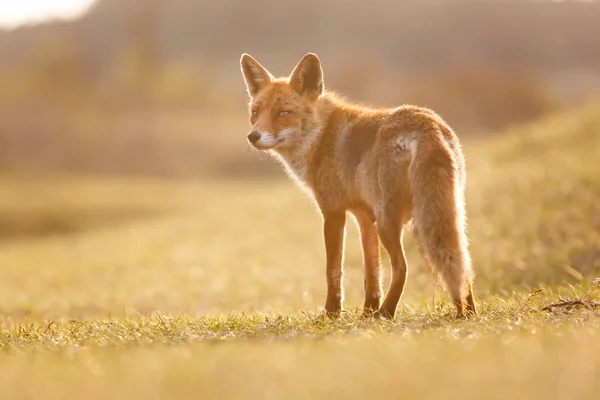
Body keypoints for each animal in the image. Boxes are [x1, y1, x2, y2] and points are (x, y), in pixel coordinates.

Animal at [239, 52, 478, 318]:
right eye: (255, 112)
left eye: (283, 113)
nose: (253, 136)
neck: (320, 137)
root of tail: (428, 124)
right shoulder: (364, 217)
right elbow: (372, 273)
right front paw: (366, 311)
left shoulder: (333, 212)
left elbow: (333, 270)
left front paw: (331, 313)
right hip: (448, 213)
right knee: (461, 263)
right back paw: (466, 313)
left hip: (389, 220)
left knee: (402, 267)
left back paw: (386, 313)